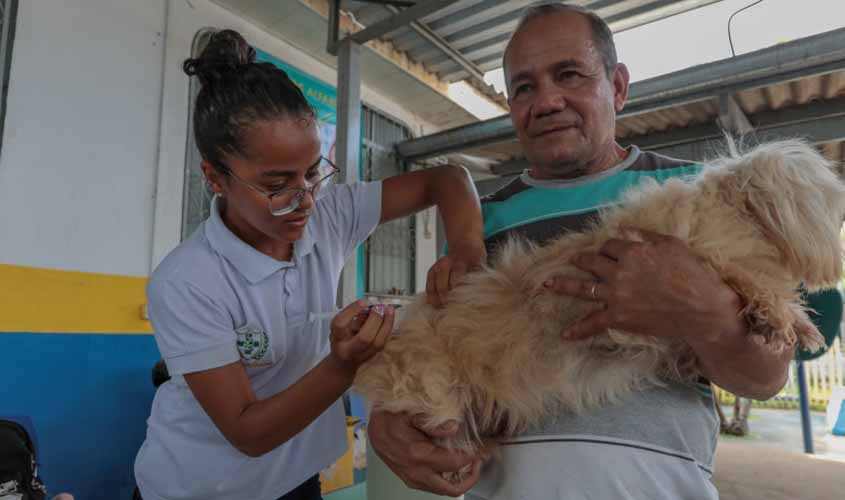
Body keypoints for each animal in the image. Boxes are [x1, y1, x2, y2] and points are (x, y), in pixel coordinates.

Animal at [352, 140, 844, 454]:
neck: (735, 210)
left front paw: (791, 323)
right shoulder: (702, 257)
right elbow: (746, 281)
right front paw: (785, 319)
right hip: (436, 399)